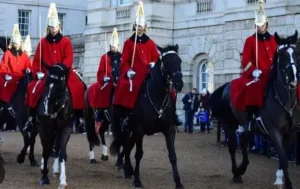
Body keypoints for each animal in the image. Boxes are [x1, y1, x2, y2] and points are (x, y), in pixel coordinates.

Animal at [108, 45, 183, 188]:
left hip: (130, 131)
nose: (179, 84)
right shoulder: (139, 131)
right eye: (166, 62)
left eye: (180, 61)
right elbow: (138, 154)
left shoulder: (169, 129)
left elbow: (173, 155)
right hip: (120, 127)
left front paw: (178, 182)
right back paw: (122, 165)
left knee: (127, 147)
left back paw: (128, 169)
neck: (157, 97)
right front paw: (137, 180)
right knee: (122, 144)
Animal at [209, 31, 300, 189]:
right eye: (281, 55)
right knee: (233, 147)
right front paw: (286, 183)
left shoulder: (290, 133)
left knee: (244, 141)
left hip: (252, 127)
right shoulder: (274, 132)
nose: (294, 78)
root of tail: (228, 85)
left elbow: (284, 157)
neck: (285, 101)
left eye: (295, 53)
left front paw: (279, 178)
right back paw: (236, 173)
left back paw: (242, 168)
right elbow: (283, 158)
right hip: (231, 124)